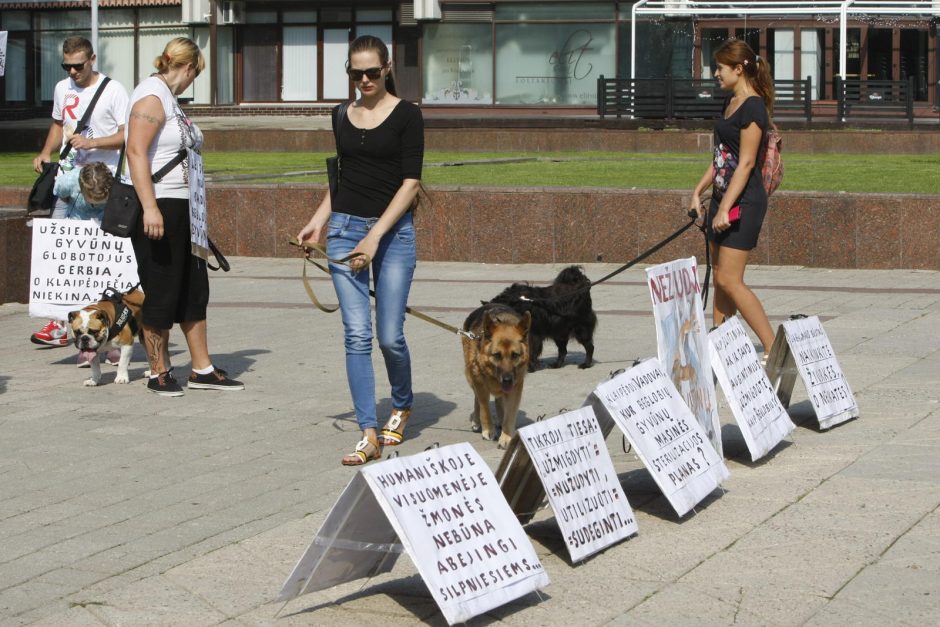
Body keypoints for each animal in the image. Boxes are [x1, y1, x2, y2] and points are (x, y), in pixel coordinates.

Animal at [460, 306, 528, 448]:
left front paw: (506, 436)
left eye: (515, 355)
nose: (507, 380)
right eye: (497, 355)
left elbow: (509, 414)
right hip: (470, 376)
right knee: (477, 400)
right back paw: (477, 421)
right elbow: (484, 407)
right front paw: (488, 430)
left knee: (499, 401)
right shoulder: (479, 383)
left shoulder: (515, 388)